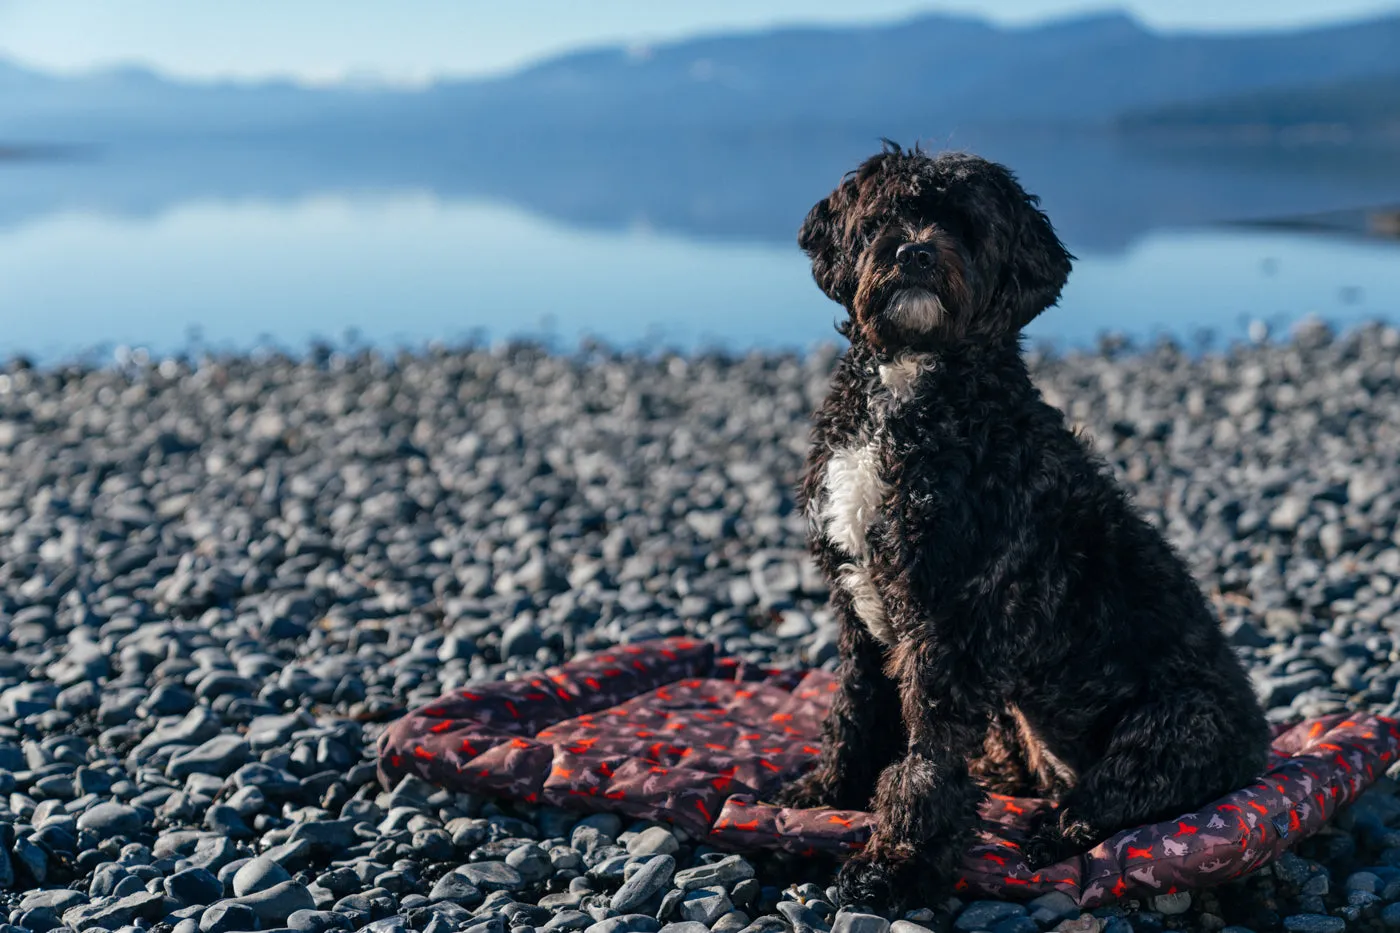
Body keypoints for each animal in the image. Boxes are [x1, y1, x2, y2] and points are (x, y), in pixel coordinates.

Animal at [784, 141, 1276, 902]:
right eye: (885, 217)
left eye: (965, 226)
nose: (915, 253)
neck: (909, 390)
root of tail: (1258, 744)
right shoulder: (857, 602)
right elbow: (855, 707)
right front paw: (829, 789)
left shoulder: (946, 623)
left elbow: (926, 760)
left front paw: (895, 861)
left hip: (1181, 719)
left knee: (1117, 800)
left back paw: (1053, 831)